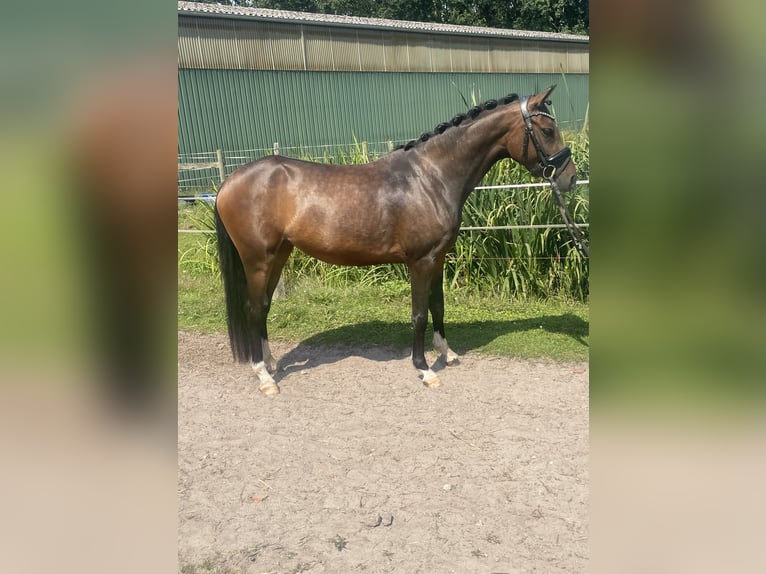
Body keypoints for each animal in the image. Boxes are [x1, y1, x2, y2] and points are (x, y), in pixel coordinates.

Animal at [214, 85, 576, 396]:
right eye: (547, 131)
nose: (570, 178)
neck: (430, 178)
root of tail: (229, 181)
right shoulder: (420, 261)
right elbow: (419, 315)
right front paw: (425, 369)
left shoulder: (438, 258)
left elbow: (438, 306)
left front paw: (447, 354)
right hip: (258, 259)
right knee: (253, 308)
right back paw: (264, 376)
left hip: (279, 255)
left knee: (263, 306)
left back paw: (270, 363)